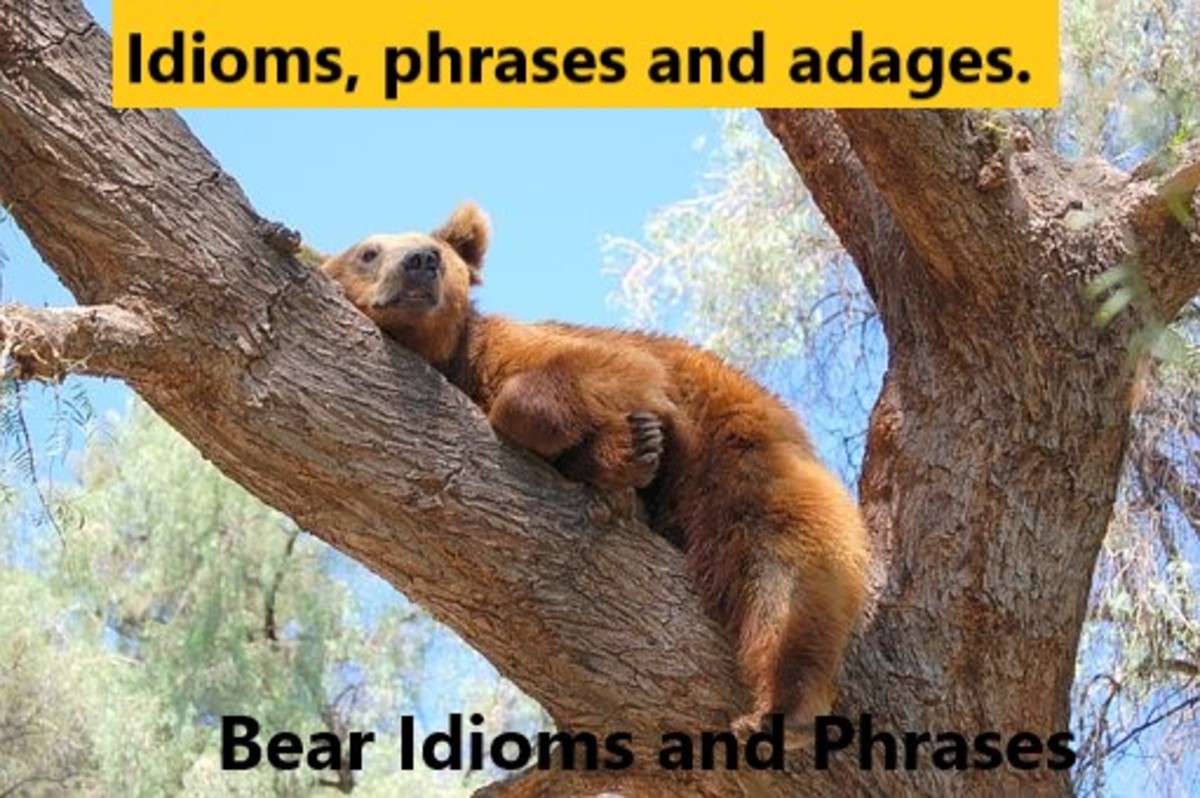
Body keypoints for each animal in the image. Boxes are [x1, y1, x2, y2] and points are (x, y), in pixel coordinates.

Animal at [320, 202, 869, 736]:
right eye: (368, 251)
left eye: (434, 248)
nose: (421, 261)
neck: (447, 362)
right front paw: (620, 454)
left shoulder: (527, 351)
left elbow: (593, 372)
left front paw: (615, 442)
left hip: (740, 448)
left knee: (785, 563)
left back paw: (784, 704)